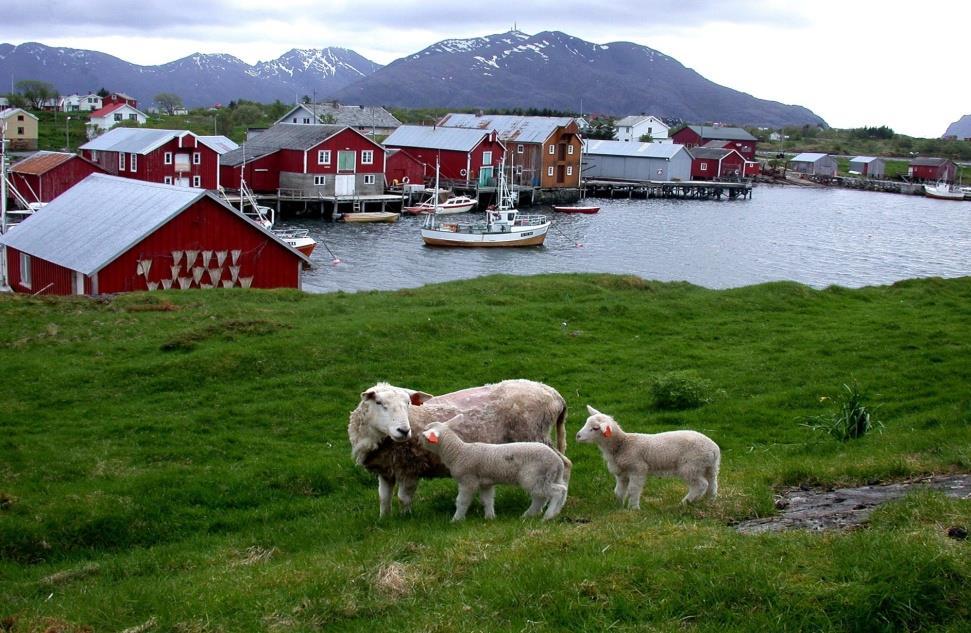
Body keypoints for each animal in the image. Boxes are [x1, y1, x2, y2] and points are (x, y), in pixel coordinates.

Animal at [418, 418, 568, 520]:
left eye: (424, 433)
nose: (418, 441)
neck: (458, 452)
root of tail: (557, 461)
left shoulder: (468, 480)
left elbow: (462, 501)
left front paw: (456, 519)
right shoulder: (486, 483)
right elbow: (488, 500)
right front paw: (490, 517)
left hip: (533, 476)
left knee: (554, 492)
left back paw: (547, 516)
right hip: (548, 477)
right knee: (550, 493)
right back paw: (536, 514)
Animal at [576, 404, 720, 508]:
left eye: (595, 428)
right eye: (586, 423)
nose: (577, 436)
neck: (622, 445)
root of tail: (714, 449)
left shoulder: (638, 468)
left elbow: (633, 490)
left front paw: (633, 508)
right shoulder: (621, 473)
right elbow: (618, 491)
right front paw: (618, 506)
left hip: (691, 466)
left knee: (701, 485)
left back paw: (683, 503)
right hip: (710, 467)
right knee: (712, 484)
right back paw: (710, 502)